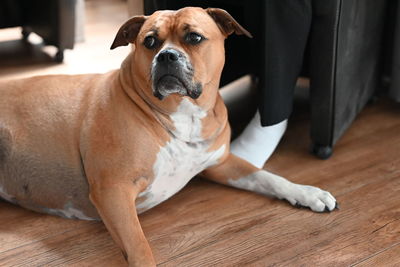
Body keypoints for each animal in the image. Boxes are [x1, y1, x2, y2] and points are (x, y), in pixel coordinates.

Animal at [0, 7, 338, 266]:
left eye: (194, 37)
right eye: (149, 41)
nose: (166, 56)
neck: (182, 116)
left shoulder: (221, 164)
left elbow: (267, 177)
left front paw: (307, 192)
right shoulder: (113, 190)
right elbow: (139, 247)